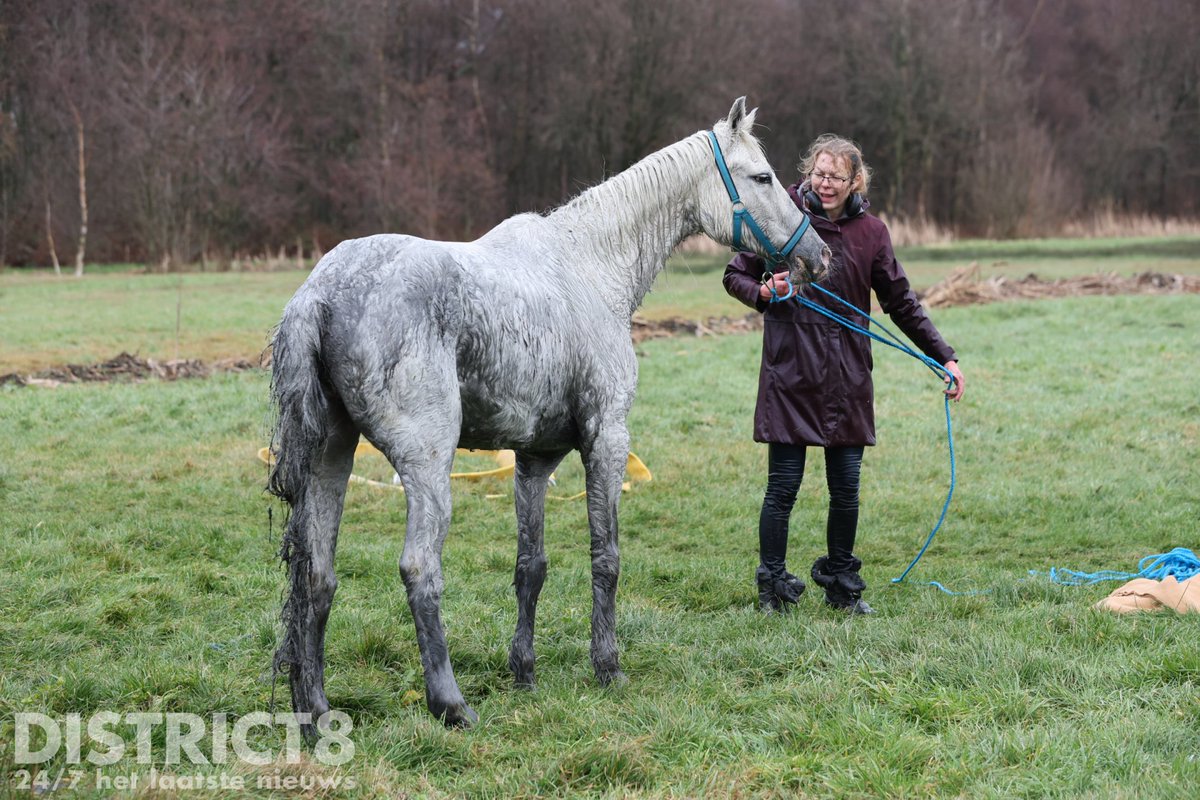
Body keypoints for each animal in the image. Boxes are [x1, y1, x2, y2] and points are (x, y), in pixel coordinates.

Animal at [267, 97, 831, 730]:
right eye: (761, 178)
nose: (819, 255)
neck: (589, 265)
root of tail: (323, 292)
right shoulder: (607, 438)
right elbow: (606, 557)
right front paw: (607, 667)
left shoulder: (534, 459)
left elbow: (529, 568)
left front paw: (524, 672)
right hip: (427, 465)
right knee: (420, 570)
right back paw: (450, 703)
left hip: (330, 460)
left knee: (315, 575)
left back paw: (315, 710)